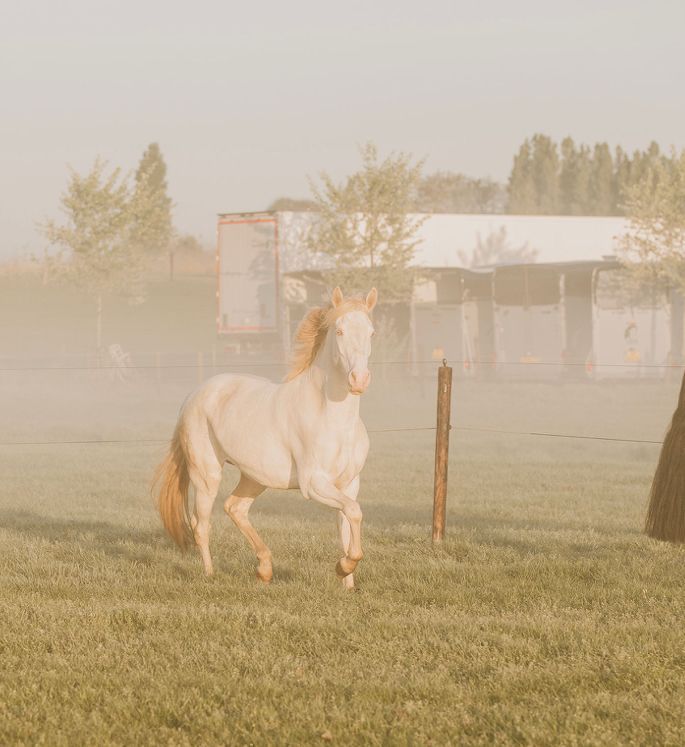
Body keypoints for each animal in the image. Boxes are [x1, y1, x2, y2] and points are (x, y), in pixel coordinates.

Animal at [154, 286, 377, 589]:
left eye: (371, 332)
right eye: (340, 331)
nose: (359, 380)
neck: (333, 419)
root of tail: (194, 395)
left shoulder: (349, 484)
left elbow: (347, 523)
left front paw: (348, 584)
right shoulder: (314, 483)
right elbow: (354, 512)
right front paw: (343, 567)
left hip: (254, 477)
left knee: (235, 508)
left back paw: (264, 569)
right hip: (206, 474)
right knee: (201, 524)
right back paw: (211, 575)